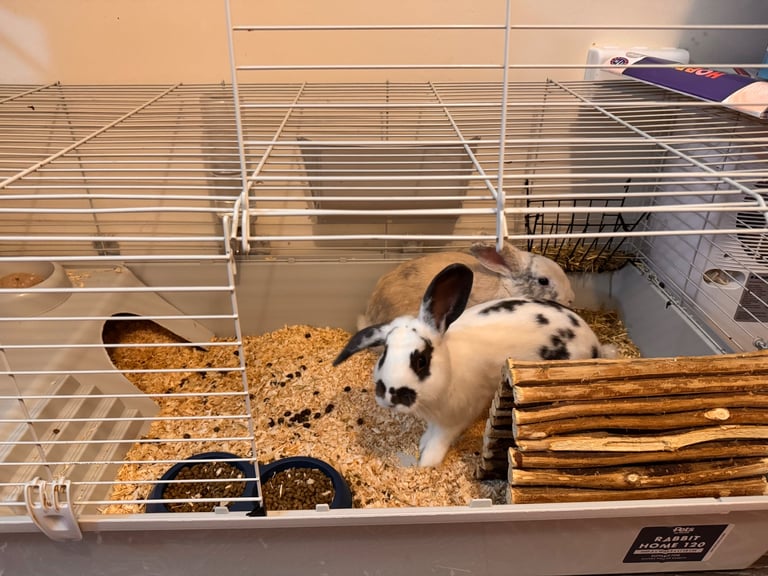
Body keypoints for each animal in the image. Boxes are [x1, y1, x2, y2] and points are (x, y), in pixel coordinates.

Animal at [335, 262, 613, 467]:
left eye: (422, 360)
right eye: (384, 354)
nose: (389, 394)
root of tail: (594, 342)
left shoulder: (454, 421)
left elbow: (437, 444)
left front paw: (426, 463)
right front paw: (422, 444)